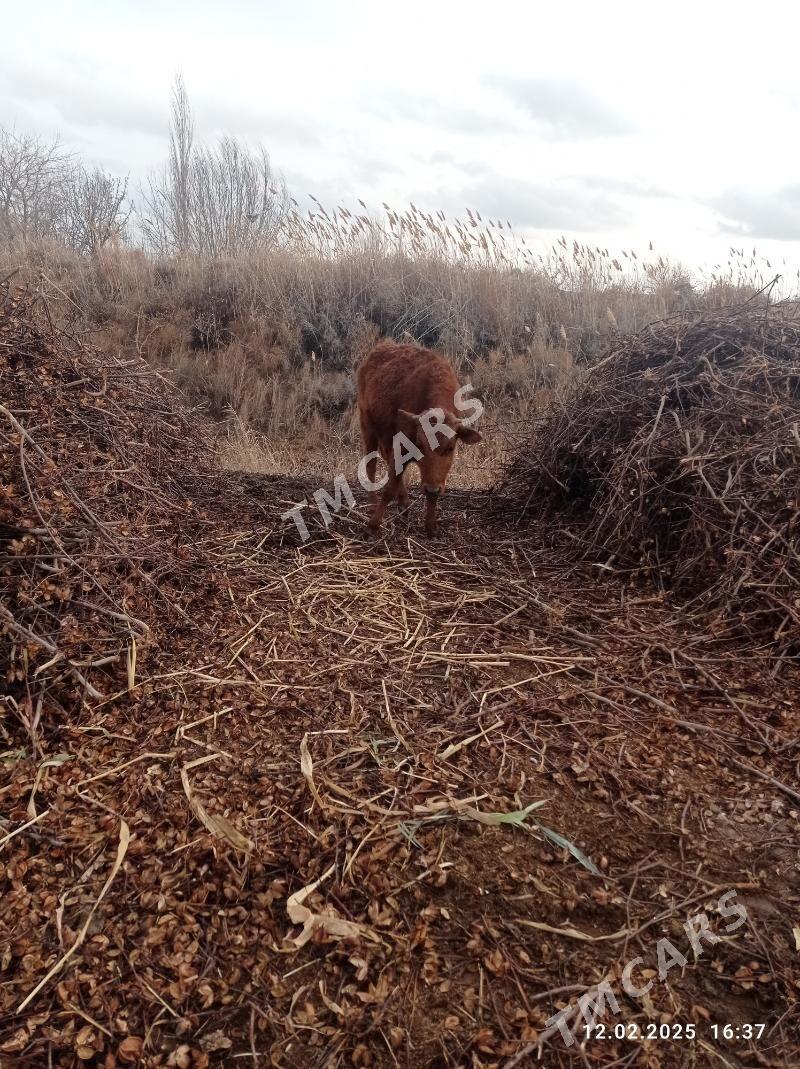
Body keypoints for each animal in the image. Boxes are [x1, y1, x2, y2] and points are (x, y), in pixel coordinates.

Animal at [357, 339, 481, 534]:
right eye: (420, 445)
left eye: (450, 447)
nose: (432, 489)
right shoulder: (401, 446)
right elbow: (389, 487)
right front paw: (374, 524)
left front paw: (431, 526)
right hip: (368, 427)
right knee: (371, 466)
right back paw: (373, 504)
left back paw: (404, 503)